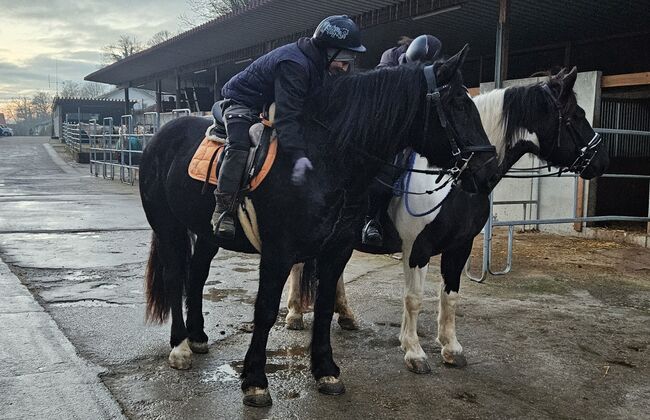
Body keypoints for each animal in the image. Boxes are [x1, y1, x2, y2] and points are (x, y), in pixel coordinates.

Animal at [140, 45, 496, 406]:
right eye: (459, 104)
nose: (488, 170)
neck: (327, 160)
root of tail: (159, 137)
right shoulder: (279, 253)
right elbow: (265, 310)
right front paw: (255, 381)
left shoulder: (336, 250)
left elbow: (324, 307)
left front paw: (326, 370)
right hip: (168, 228)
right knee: (175, 278)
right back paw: (180, 347)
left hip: (206, 233)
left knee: (197, 275)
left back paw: (197, 336)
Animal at [284, 67, 608, 372]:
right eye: (577, 115)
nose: (601, 162)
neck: (454, 181)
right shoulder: (417, 249)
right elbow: (414, 298)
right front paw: (414, 352)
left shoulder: (460, 246)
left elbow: (450, 297)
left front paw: (451, 349)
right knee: (299, 266)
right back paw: (294, 313)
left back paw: (347, 316)